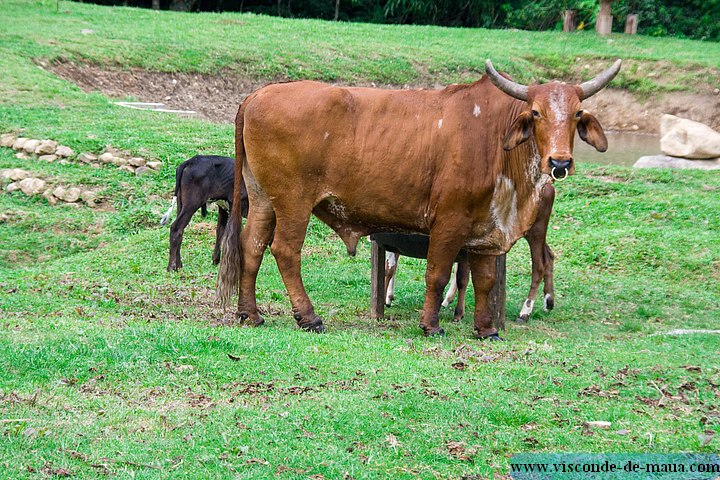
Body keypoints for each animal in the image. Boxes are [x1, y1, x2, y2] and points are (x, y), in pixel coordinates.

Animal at [218, 59, 620, 338]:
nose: (560, 162)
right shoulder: (449, 221)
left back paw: (250, 313)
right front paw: (431, 324)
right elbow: (438, 275)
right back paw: (308, 316)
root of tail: (257, 94)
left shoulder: (486, 229)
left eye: (577, 114)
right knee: (285, 251)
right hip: (293, 202)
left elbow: (485, 281)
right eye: (536, 113)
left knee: (251, 246)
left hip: (263, 199)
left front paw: (486, 329)